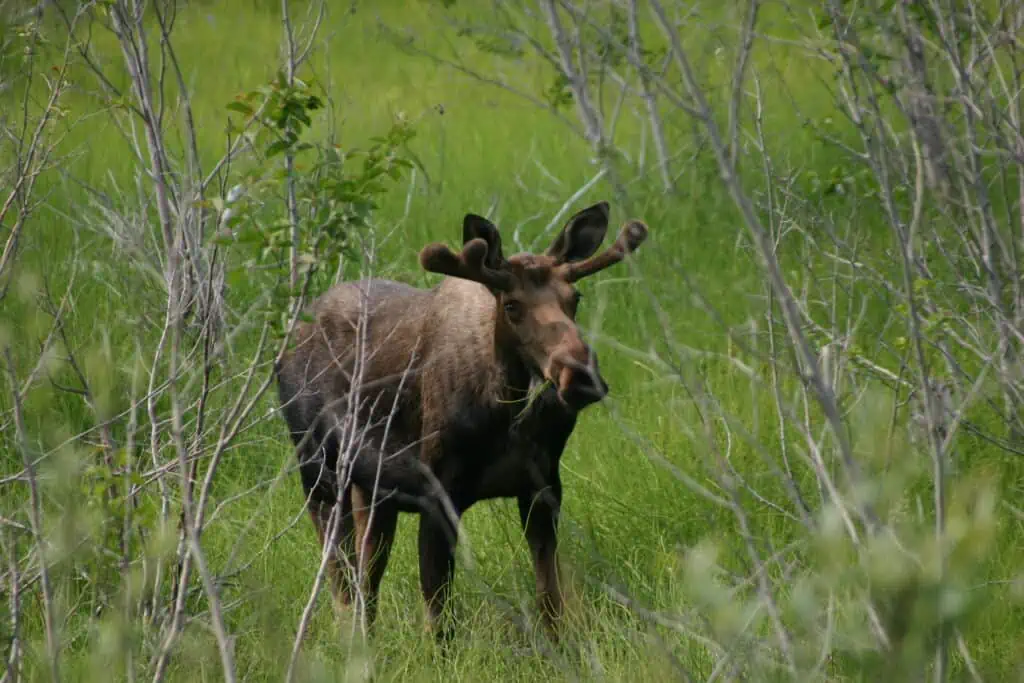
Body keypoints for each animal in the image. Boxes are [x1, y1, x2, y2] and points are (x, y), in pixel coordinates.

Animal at [272, 200, 647, 638]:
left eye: (575, 297)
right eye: (511, 305)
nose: (581, 376)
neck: (507, 414)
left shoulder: (543, 487)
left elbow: (550, 601)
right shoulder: (437, 495)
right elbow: (440, 619)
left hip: (372, 490)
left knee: (367, 579)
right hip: (317, 468)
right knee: (341, 583)